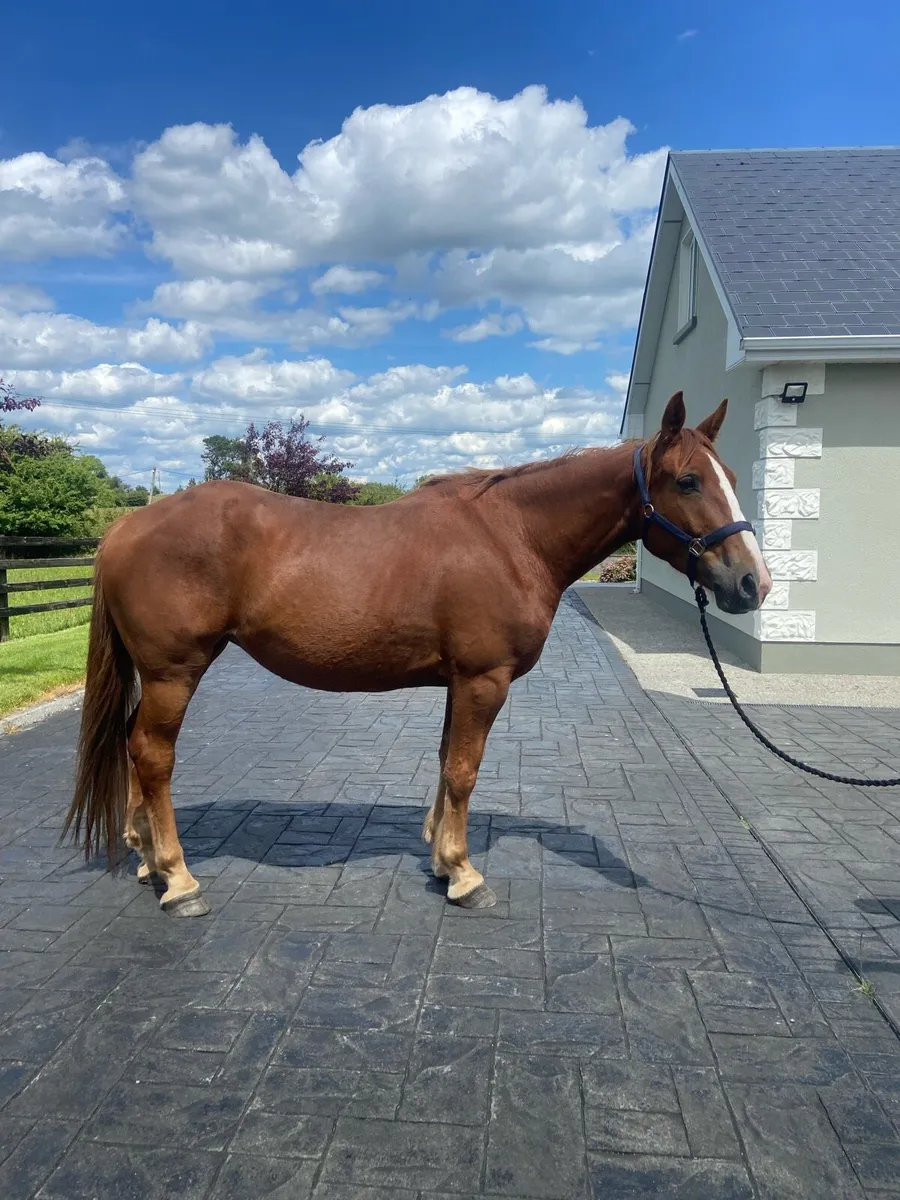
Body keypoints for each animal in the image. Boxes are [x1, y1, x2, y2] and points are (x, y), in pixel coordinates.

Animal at [63, 391, 771, 916]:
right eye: (687, 480)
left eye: (733, 478)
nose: (753, 584)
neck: (512, 536)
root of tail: (125, 526)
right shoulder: (484, 679)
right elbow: (463, 771)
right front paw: (463, 875)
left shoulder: (460, 681)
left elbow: (445, 763)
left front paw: (439, 858)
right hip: (173, 673)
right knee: (153, 755)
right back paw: (179, 881)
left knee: (134, 746)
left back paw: (145, 860)